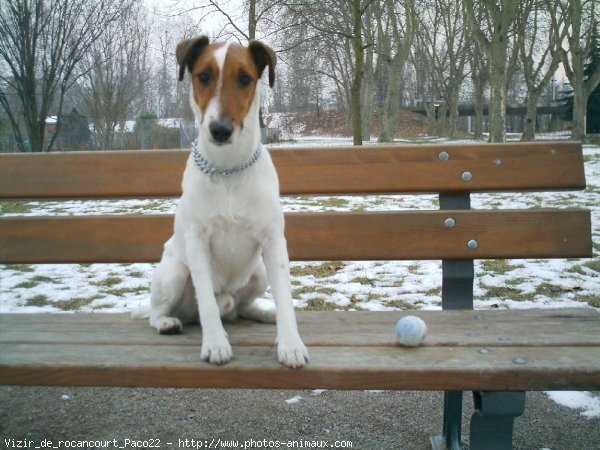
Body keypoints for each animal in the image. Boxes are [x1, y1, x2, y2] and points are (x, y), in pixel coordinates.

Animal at [143, 37, 308, 370]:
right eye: (203, 76)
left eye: (245, 79)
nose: (220, 130)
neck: (228, 169)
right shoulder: (197, 242)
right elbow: (207, 302)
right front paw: (216, 345)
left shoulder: (273, 242)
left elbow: (286, 298)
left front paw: (291, 344)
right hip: (175, 272)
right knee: (160, 312)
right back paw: (167, 322)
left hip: (258, 272)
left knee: (240, 309)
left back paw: (264, 312)